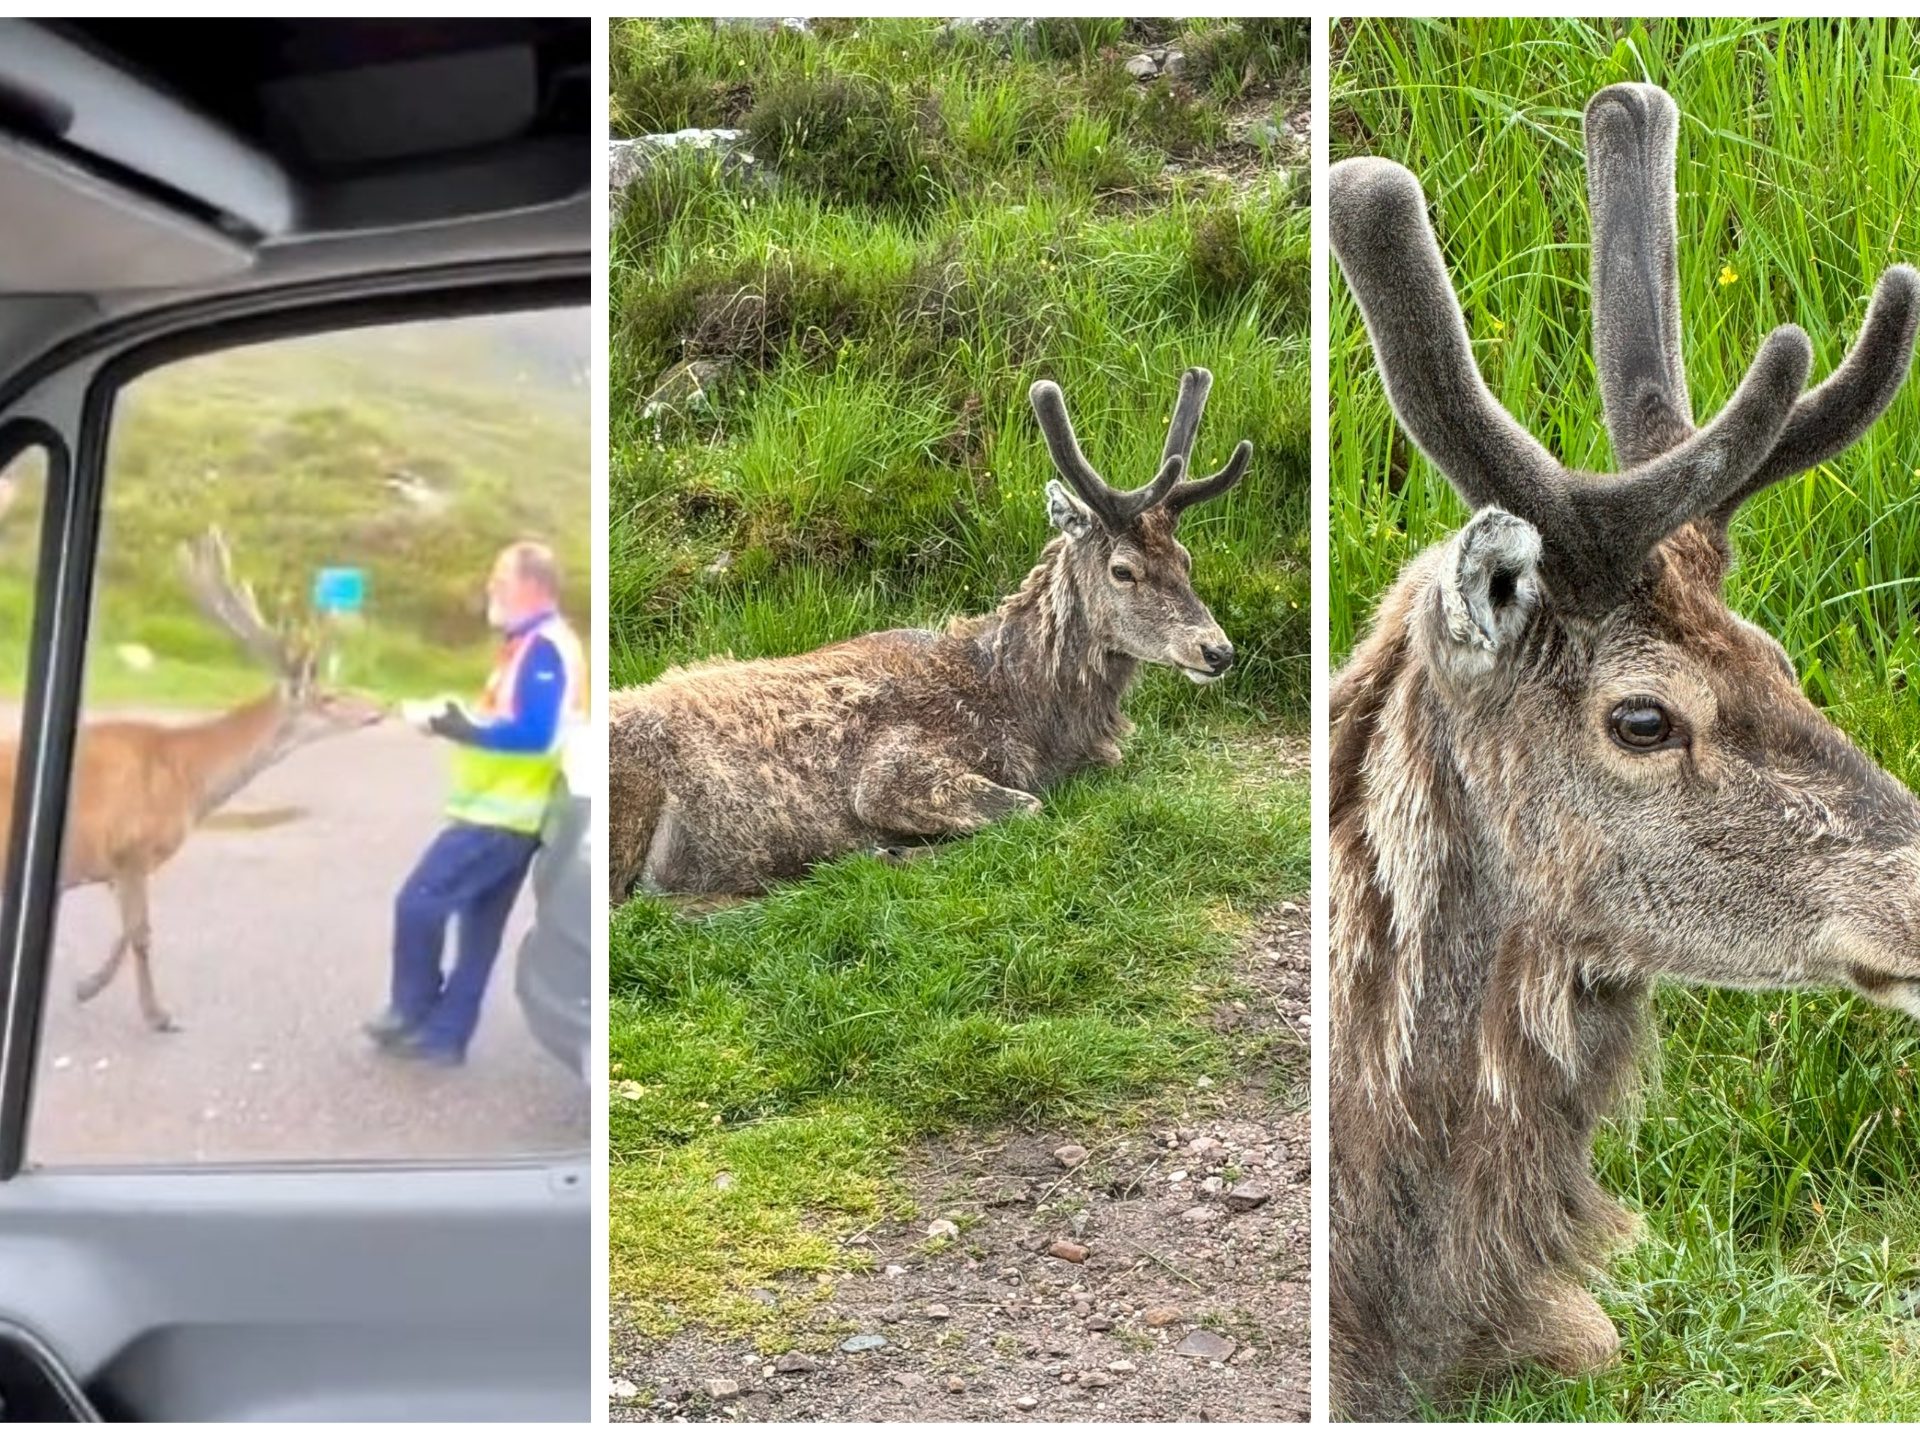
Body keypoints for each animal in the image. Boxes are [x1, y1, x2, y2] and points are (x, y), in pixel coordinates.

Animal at [0, 529, 385, 1036]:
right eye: (329, 697)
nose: (381, 708)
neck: (187, 777)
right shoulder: (132, 847)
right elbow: (141, 932)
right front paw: (156, 1014)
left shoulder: (118, 863)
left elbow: (128, 928)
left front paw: (87, 986)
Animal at [606, 366, 1251, 898]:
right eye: (1124, 569)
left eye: (1186, 559)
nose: (1217, 650)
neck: (1029, 714)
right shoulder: (888, 773)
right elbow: (1027, 808)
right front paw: (887, 852)